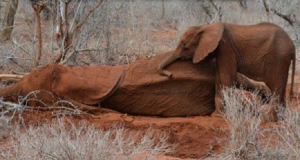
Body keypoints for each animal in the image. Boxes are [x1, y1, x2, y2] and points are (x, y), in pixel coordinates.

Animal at [158, 21, 296, 120]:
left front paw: (223, 116)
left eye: (184, 44)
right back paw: (281, 118)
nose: (170, 75)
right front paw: (217, 116)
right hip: (281, 59)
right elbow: (219, 77)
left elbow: (226, 77)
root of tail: (292, 46)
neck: (205, 26)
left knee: (275, 86)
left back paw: (269, 118)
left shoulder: (226, 48)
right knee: (281, 86)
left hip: (277, 57)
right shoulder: (221, 51)